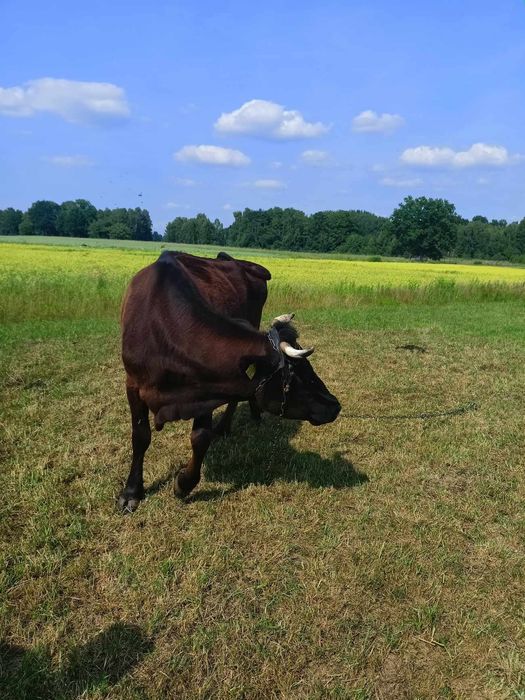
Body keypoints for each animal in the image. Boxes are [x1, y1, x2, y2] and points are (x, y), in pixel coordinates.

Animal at [118, 252, 340, 508]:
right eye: (294, 373)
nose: (334, 404)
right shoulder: (134, 384)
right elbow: (140, 436)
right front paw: (132, 491)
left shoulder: (207, 388)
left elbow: (200, 438)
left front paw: (184, 483)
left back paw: (226, 425)